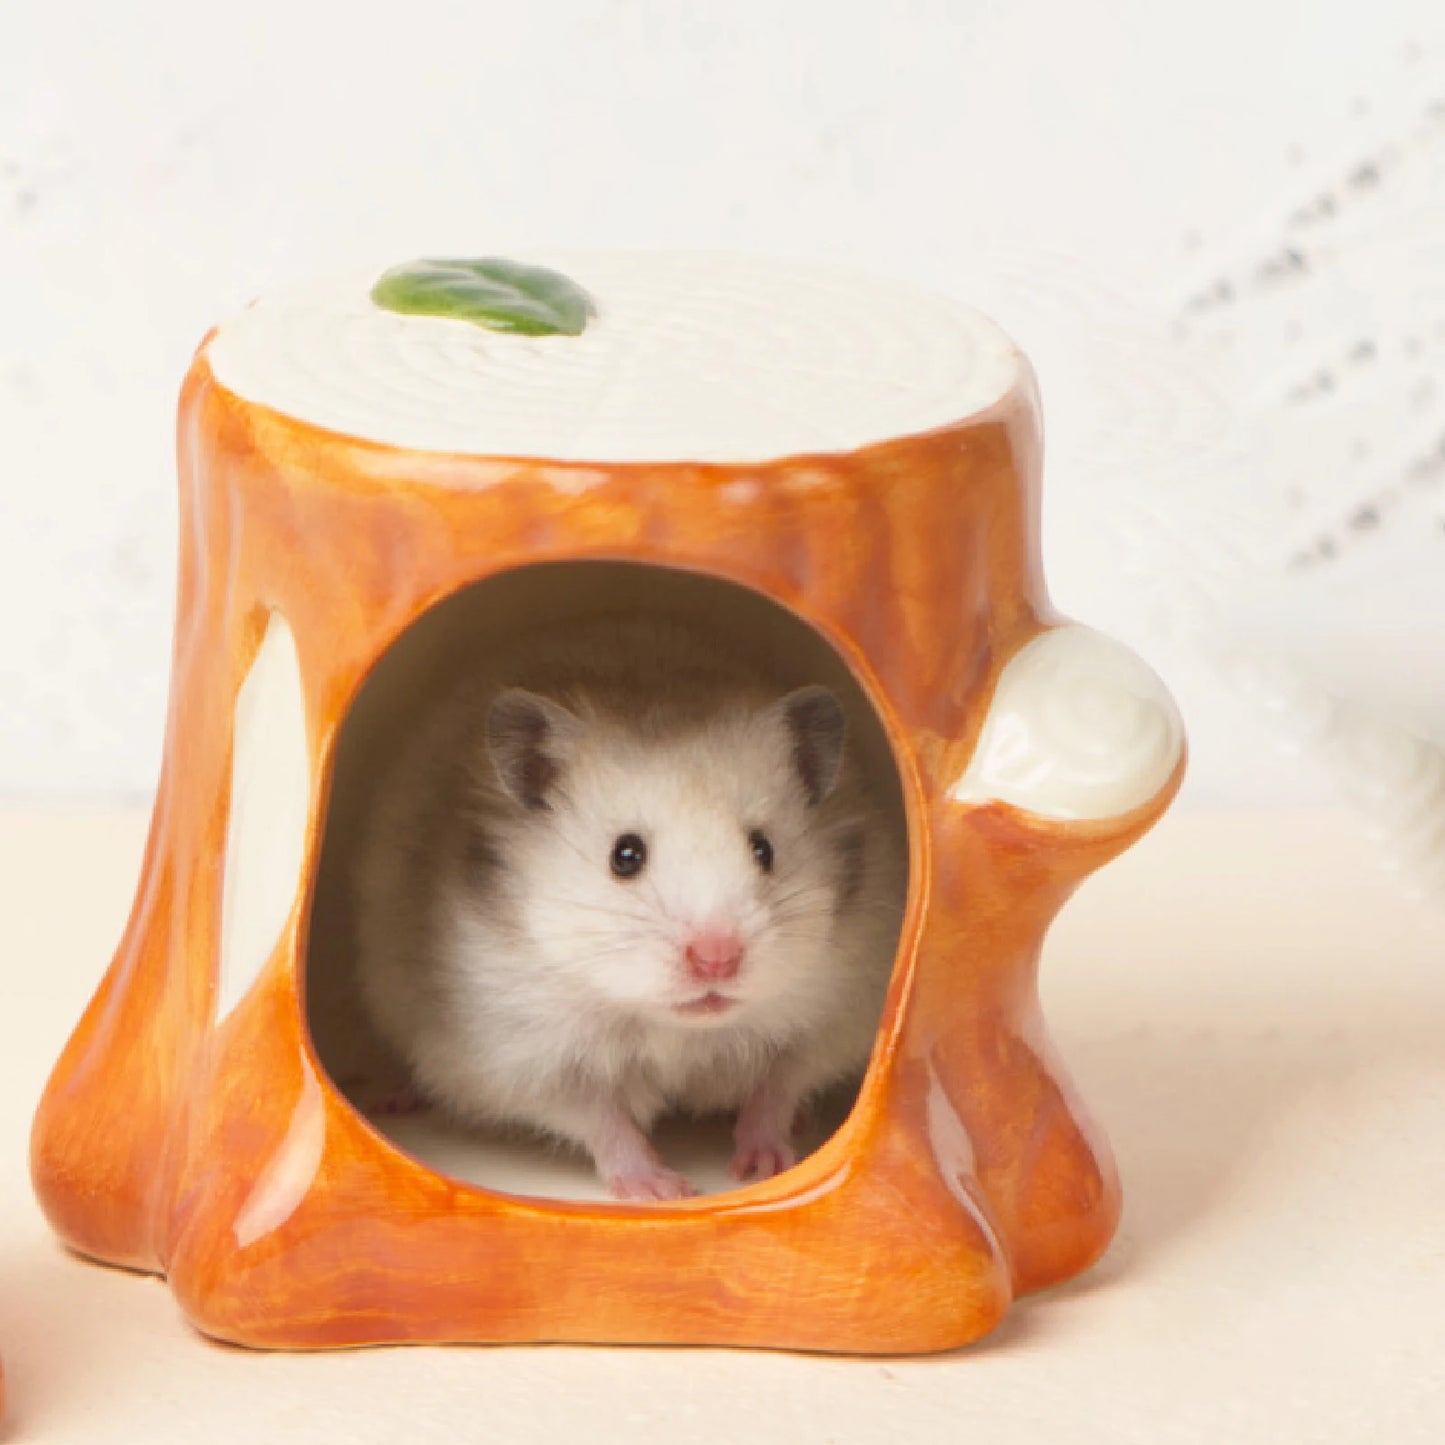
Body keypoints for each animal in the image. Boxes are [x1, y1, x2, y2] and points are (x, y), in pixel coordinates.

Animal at [351, 614, 906, 1201]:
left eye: (763, 849)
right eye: (625, 856)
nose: (717, 960)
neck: (676, 1024)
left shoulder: (834, 1012)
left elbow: (778, 1086)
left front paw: (765, 1166)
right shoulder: (523, 1055)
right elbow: (601, 1119)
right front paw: (664, 1189)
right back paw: (392, 1097)